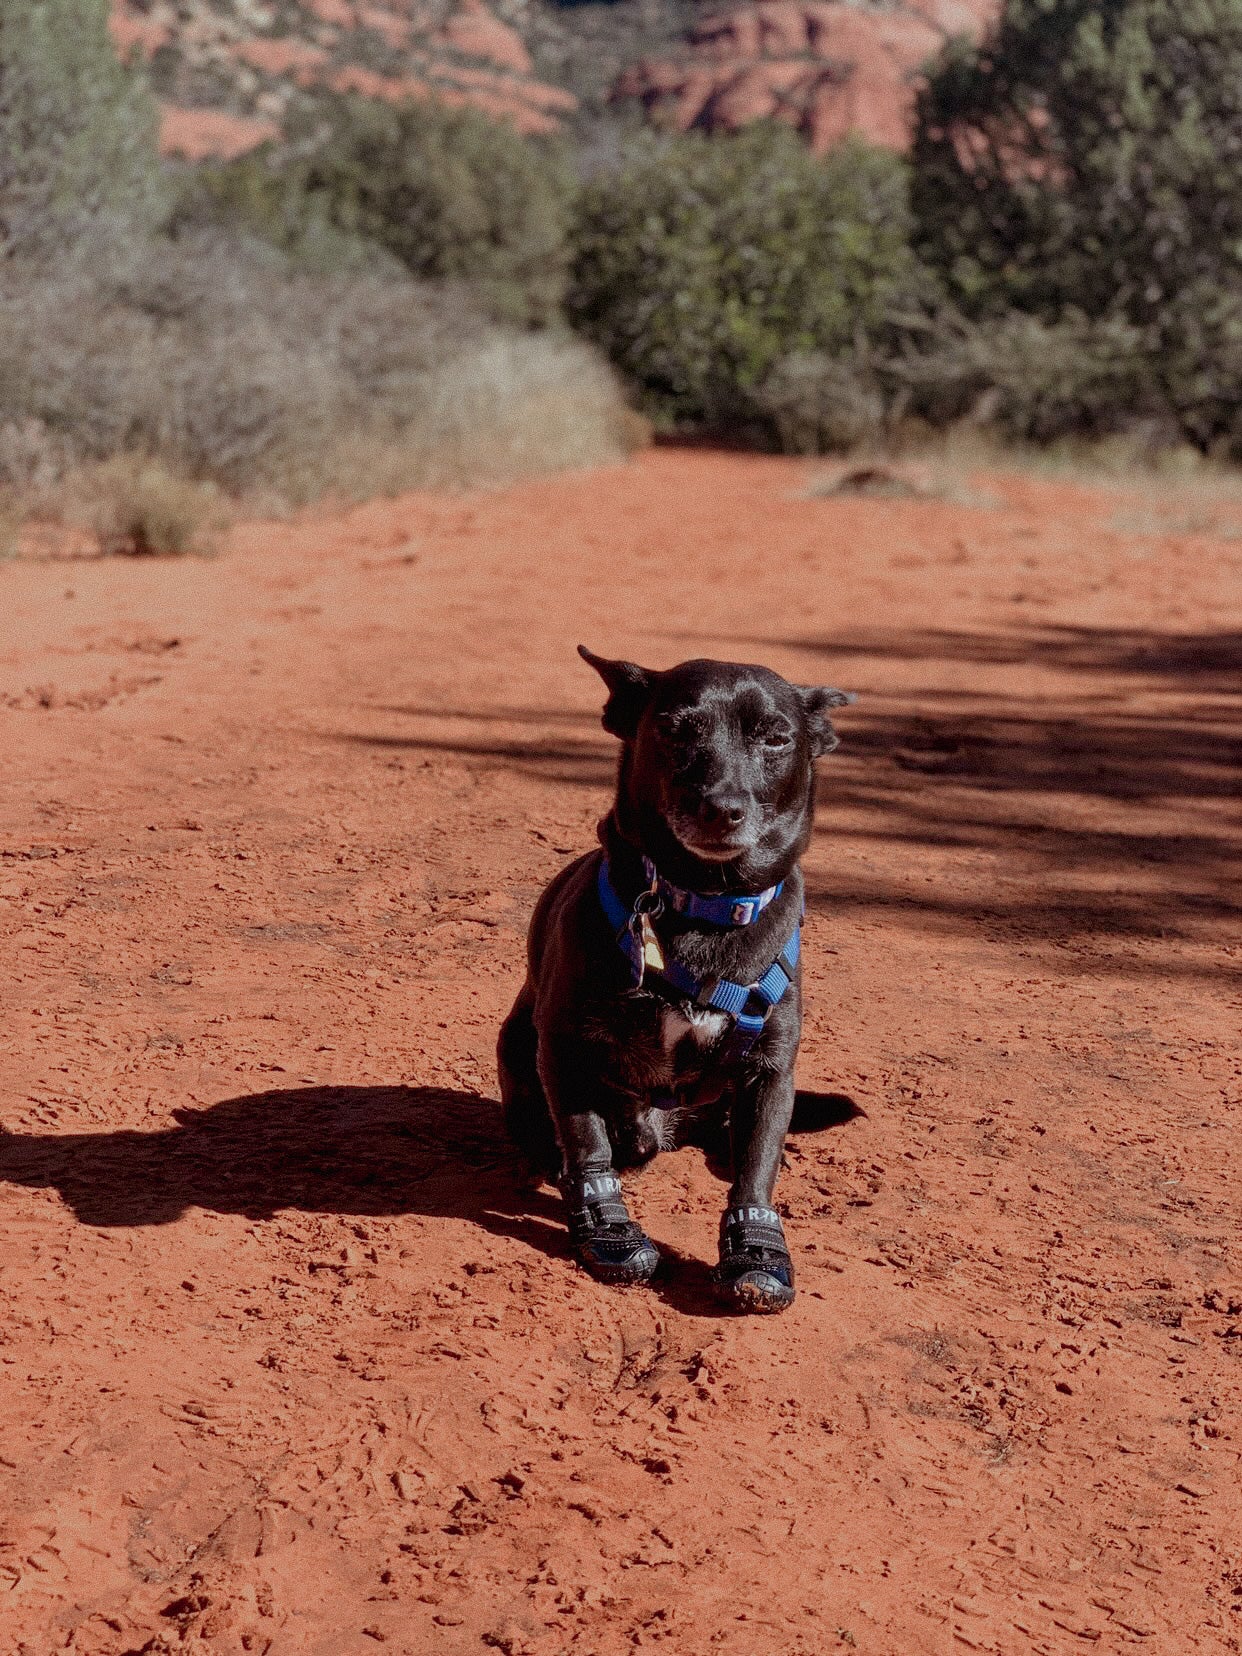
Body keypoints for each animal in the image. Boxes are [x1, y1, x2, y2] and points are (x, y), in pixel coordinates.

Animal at [500, 645, 854, 1304]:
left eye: (776, 737)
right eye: (674, 730)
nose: (722, 808)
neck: (704, 906)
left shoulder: (771, 1068)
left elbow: (756, 1170)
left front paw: (757, 1252)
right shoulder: (566, 1046)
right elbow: (586, 1141)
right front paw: (607, 1232)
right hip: (517, 1041)